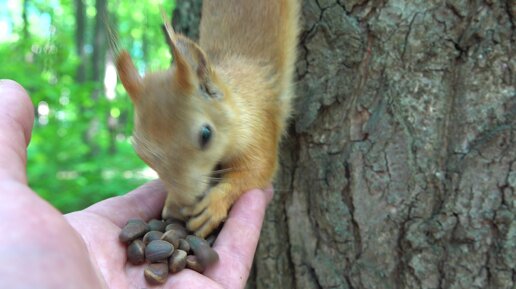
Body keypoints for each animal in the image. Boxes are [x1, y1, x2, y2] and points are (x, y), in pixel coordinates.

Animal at [115, 0, 300, 236]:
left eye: (206, 134)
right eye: (141, 154)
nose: (186, 201)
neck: (239, 102)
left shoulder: (260, 125)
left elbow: (257, 169)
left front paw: (212, 206)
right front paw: (173, 202)